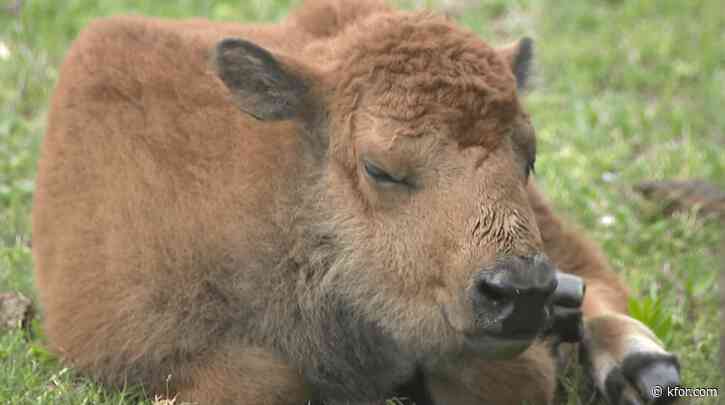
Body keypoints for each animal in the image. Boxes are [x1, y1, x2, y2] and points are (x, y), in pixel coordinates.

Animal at [32, 0, 680, 404]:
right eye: (379, 169)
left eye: (529, 158)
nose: (519, 291)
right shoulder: (134, 336)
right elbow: (265, 380)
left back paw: (643, 368)